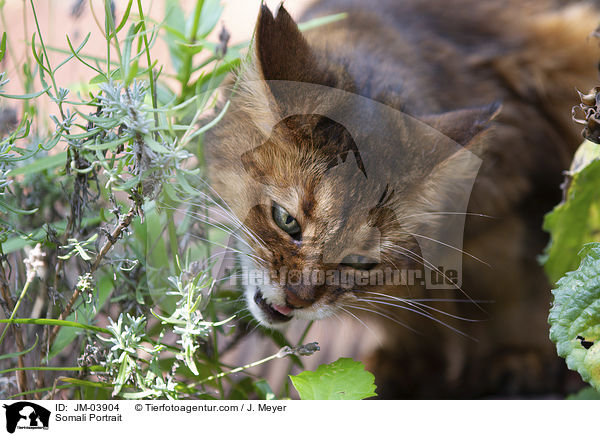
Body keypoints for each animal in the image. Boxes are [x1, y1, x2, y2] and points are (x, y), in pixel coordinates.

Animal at [203, 0, 600, 398]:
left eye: (360, 262)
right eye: (286, 220)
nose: (297, 299)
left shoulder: (515, 214)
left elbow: (519, 293)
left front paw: (516, 357)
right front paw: (404, 366)